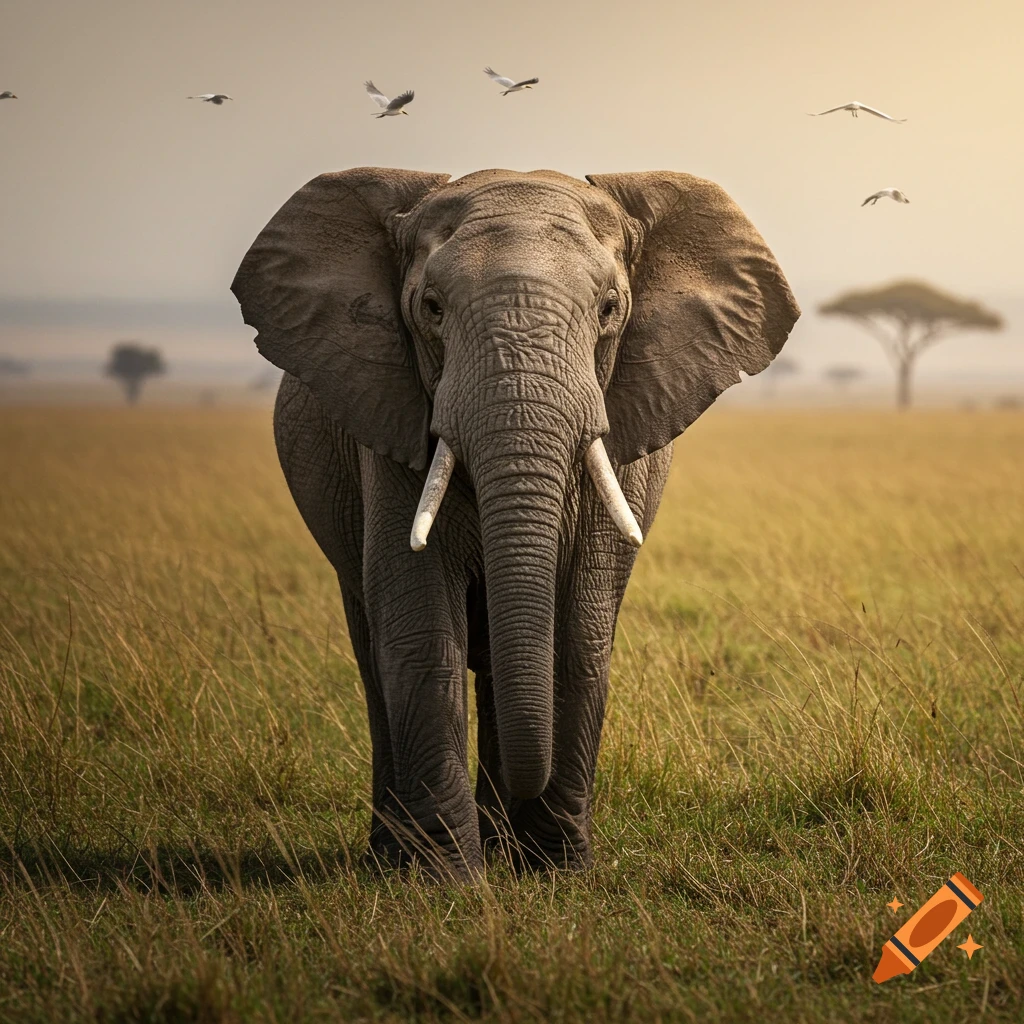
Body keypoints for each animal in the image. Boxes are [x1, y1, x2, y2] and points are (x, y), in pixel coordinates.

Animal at [231, 167, 800, 878]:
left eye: (610, 308)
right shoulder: (390, 424)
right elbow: (422, 628)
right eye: (432, 309)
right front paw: (446, 880)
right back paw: (399, 855)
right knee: (373, 653)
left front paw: (559, 870)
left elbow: (578, 630)